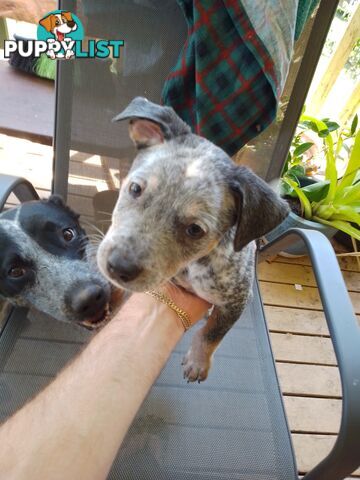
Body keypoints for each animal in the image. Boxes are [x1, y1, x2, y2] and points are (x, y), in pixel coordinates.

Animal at [97, 97, 290, 382]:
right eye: (135, 188)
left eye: (195, 230)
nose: (118, 267)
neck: (192, 267)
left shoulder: (237, 301)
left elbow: (212, 333)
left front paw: (198, 363)